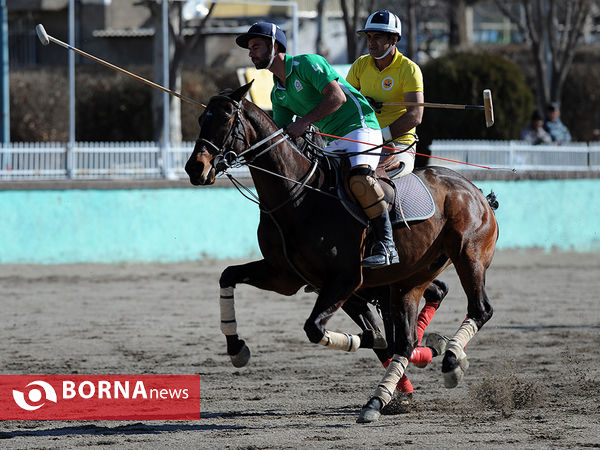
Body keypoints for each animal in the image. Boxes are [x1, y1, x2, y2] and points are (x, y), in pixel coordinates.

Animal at [185, 82, 500, 424]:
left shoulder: (347, 279)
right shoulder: (285, 276)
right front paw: (236, 348)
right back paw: (384, 394)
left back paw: (450, 361)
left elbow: (321, 329)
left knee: (479, 310)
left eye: (226, 119)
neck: (297, 194)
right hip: (411, 279)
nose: (195, 168)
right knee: (405, 338)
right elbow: (227, 275)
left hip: (468, 255)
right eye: (201, 118)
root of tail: (475, 190)